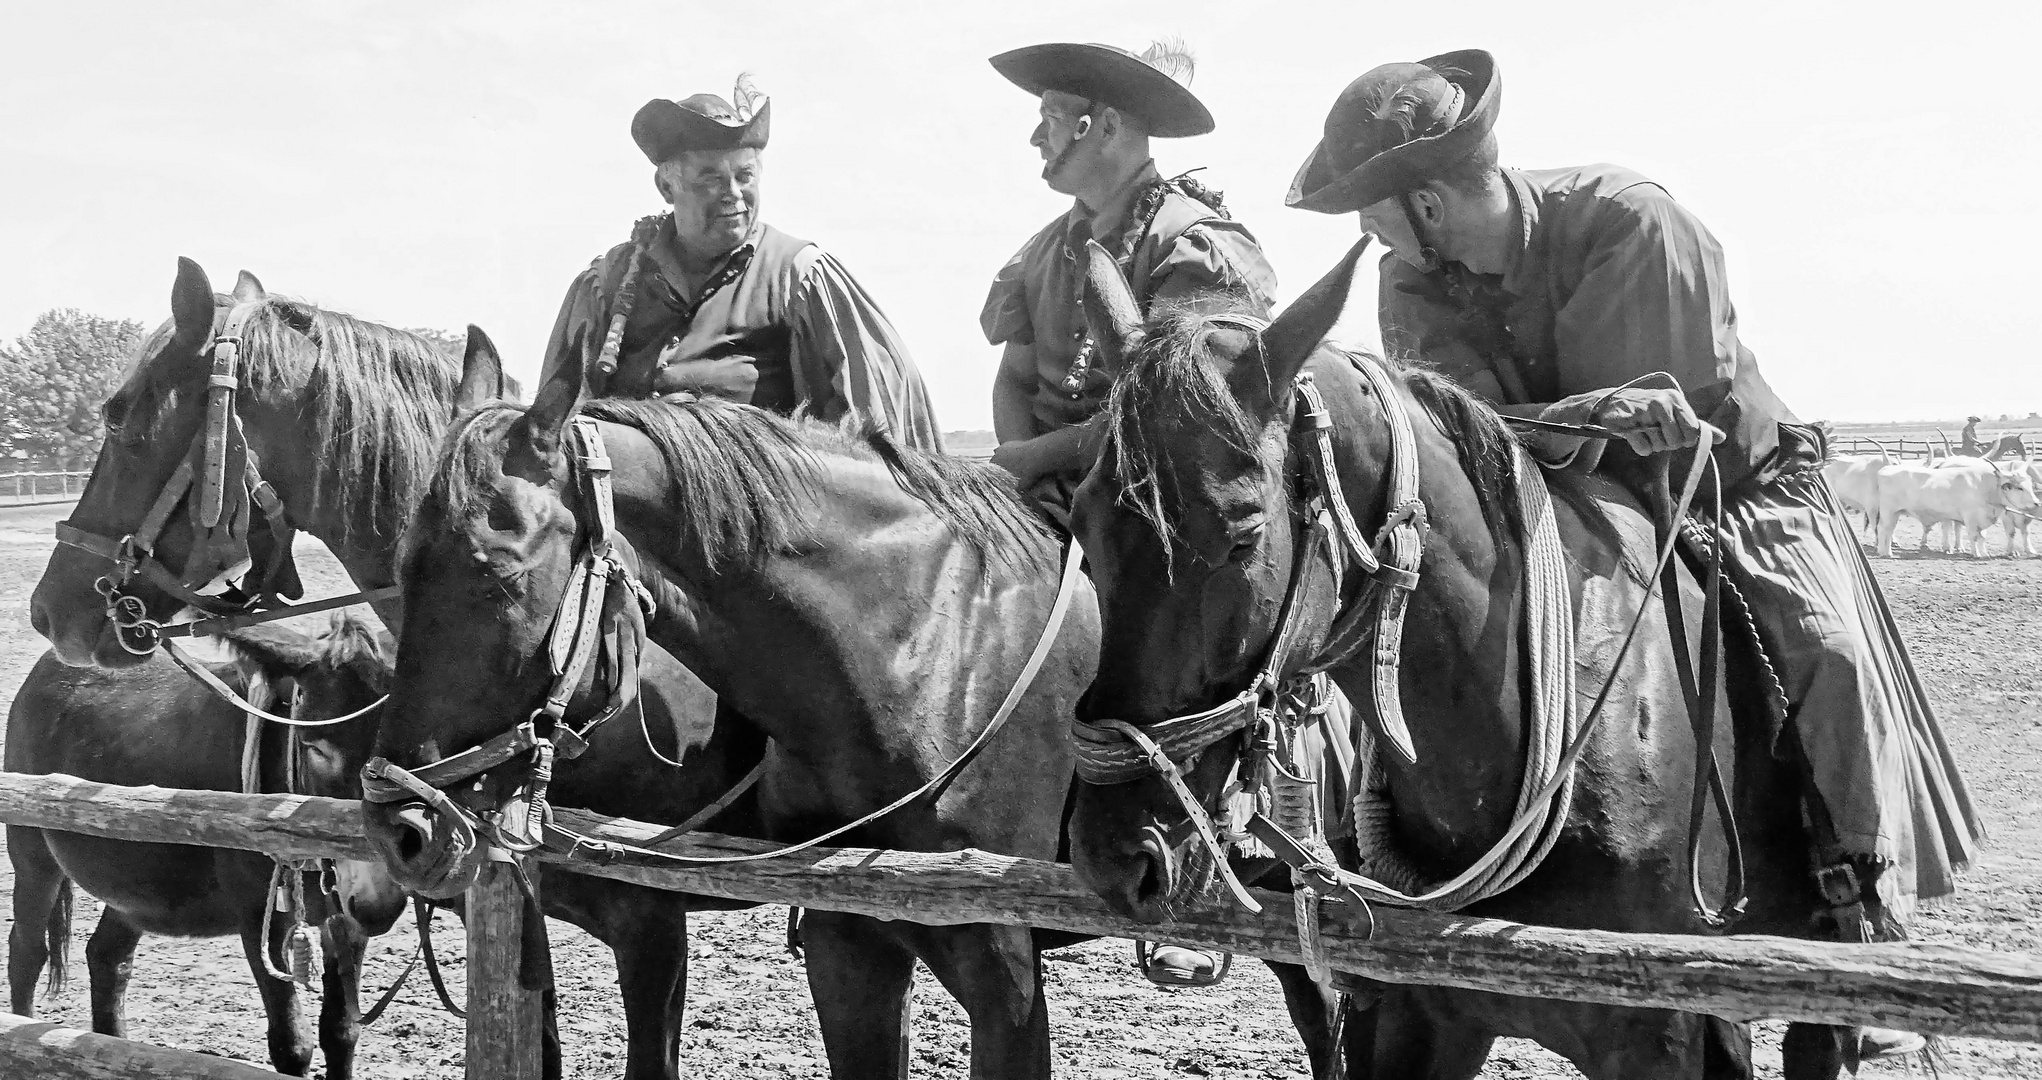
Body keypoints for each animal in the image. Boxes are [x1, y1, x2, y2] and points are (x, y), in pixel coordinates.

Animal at [6, 612, 406, 1069]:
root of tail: (51, 660)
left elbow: (342, 1031)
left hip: (135, 883)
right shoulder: (258, 914)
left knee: (108, 957)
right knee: (26, 952)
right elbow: (291, 1042)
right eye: (315, 748)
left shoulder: (346, 922)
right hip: (31, 851)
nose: (378, 905)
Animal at [363, 340, 1372, 1069]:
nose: (401, 825)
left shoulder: (1001, 970)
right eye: (405, 565)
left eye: (498, 577)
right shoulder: (848, 949)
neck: (923, 659)